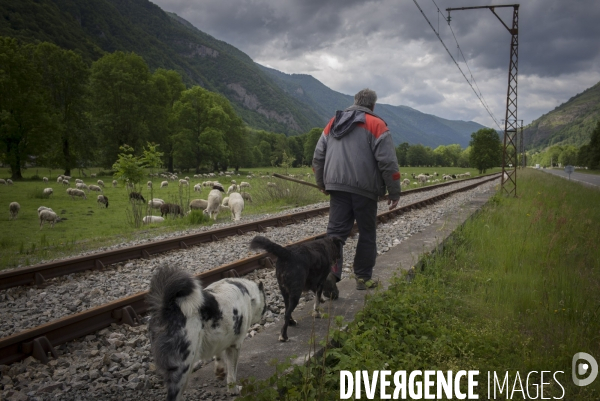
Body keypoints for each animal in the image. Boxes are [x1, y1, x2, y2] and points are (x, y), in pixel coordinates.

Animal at [146, 264, 266, 398]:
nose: (266, 310)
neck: (249, 295)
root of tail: (168, 308)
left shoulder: (220, 337)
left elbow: (219, 355)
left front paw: (220, 370)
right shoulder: (235, 346)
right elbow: (232, 373)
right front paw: (233, 390)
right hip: (182, 370)